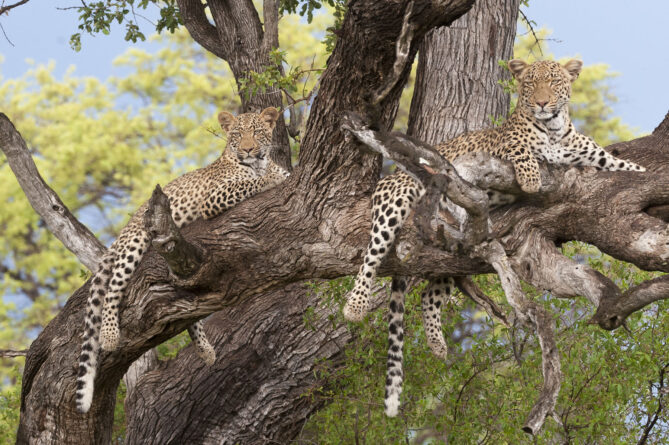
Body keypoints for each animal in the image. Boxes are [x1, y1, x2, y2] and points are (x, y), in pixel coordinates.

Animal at [76, 107, 289, 413]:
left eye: (258, 132)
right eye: (238, 135)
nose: (248, 149)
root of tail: (123, 232)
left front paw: (276, 172)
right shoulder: (214, 197)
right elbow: (251, 182)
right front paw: (271, 178)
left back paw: (205, 349)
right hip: (136, 243)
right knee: (114, 285)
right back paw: (109, 334)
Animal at [344, 59, 646, 417]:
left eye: (553, 82)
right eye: (530, 84)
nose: (542, 103)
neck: (555, 128)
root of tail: (389, 177)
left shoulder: (592, 154)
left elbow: (623, 164)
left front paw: (641, 171)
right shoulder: (503, 147)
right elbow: (523, 151)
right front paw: (530, 179)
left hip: (452, 247)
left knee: (429, 295)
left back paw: (438, 345)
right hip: (397, 200)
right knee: (371, 256)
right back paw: (354, 306)